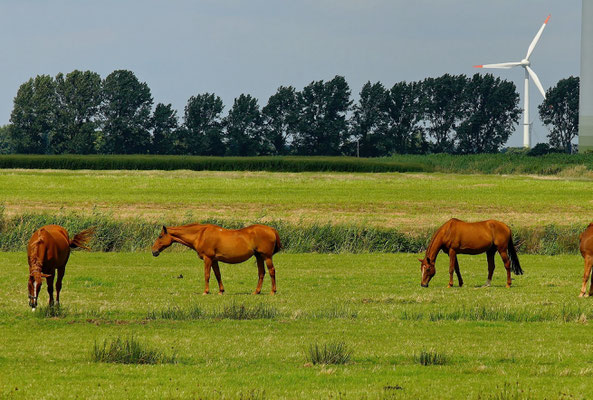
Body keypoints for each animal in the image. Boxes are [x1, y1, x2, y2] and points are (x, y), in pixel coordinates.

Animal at [153, 223, 282, 296]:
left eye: (160, 236)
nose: (153, 251)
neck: (201, 235)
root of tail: (271, 229)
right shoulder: (214, 260)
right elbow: (217, 275)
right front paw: (221, 291)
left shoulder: (208, 259)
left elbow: (207, 275)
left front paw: (206, 291)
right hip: (259, 256)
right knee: (261, 273)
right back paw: (257, 291)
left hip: (267, 257)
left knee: (272, 271)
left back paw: (273, 291)